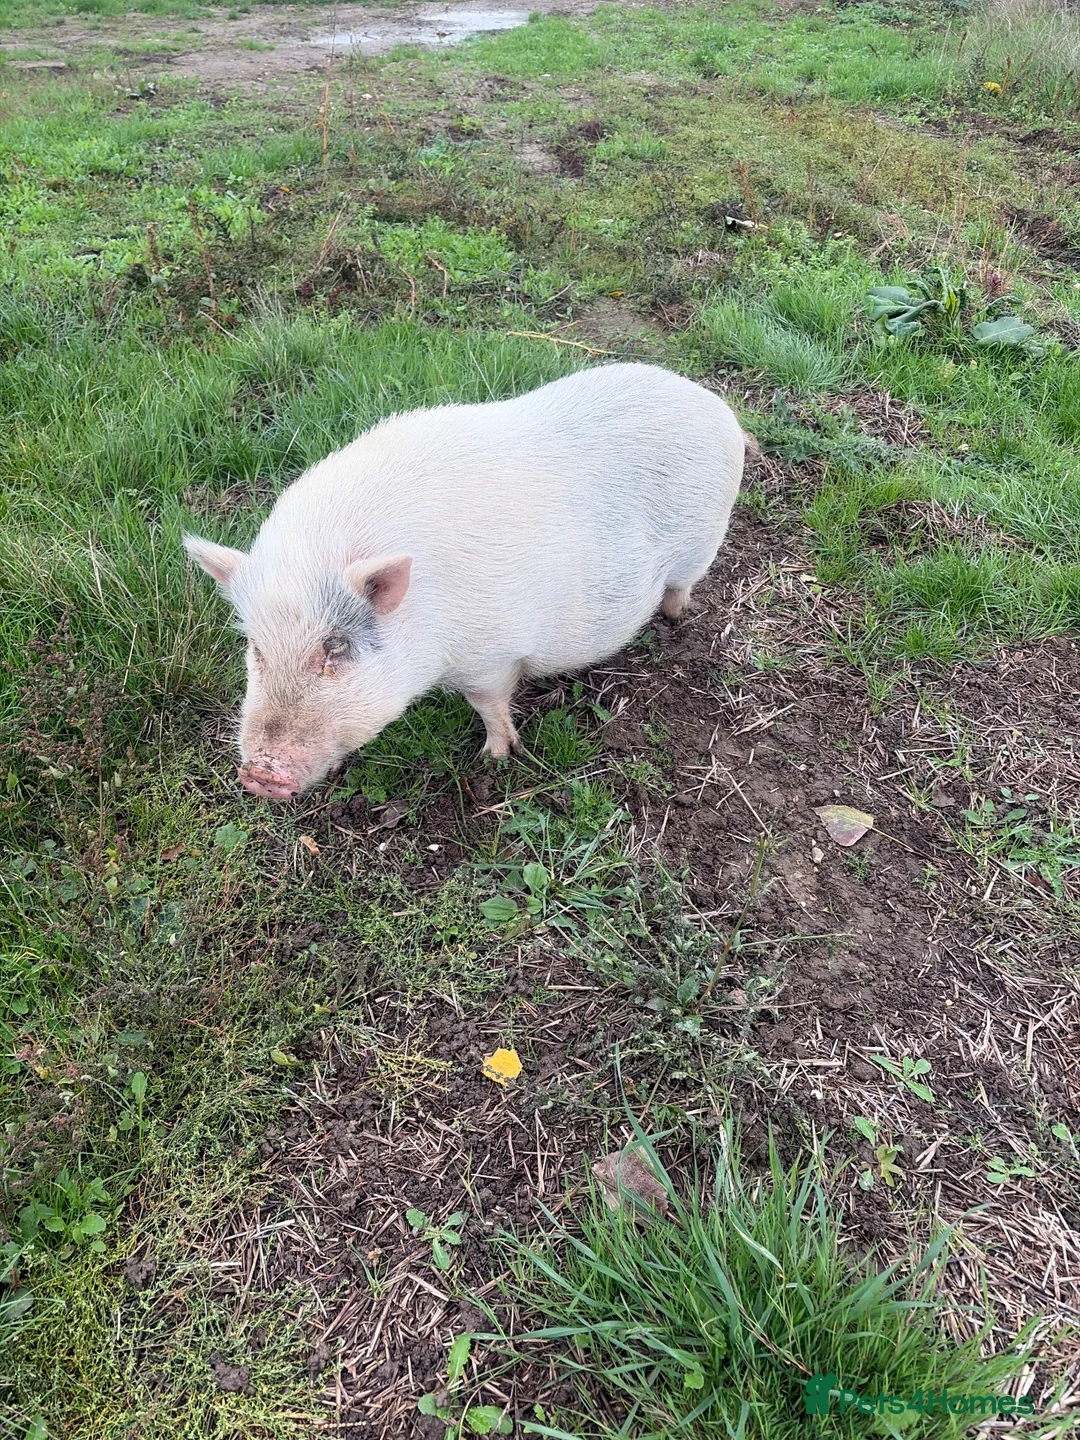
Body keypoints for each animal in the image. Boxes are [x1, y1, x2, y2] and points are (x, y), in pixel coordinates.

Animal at [184, 362, 747, 800]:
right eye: (256, 649)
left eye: (336, 647)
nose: (258, 776)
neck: (425, 621)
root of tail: (710, 402)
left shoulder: (491, 656)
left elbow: (491, 705)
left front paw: (493, 758)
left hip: (702, 543)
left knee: (681, 586)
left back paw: (674, 618)